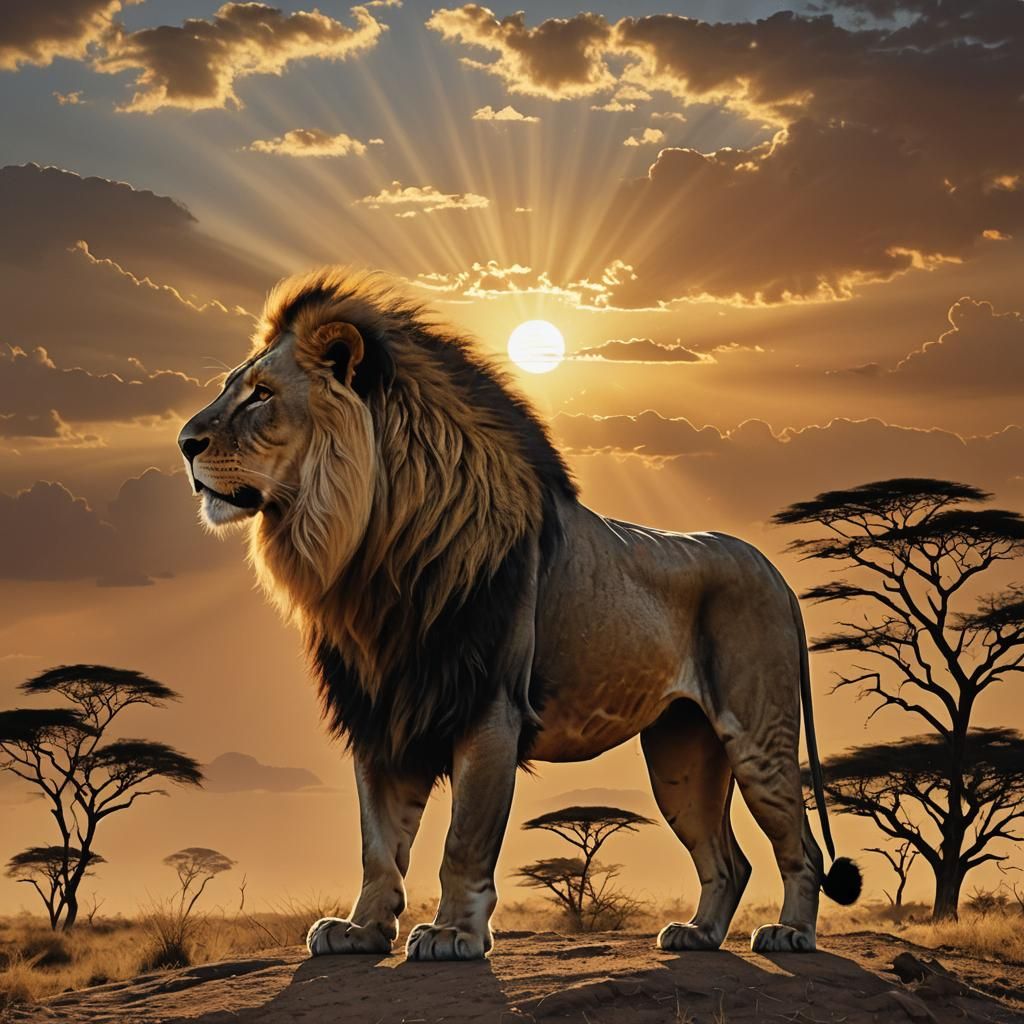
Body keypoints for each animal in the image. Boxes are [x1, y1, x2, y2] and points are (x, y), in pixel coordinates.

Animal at [177, 267, 861, 961]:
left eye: (261, 395)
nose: (184, 443)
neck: (373, 553)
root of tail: (774, 570)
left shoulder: (488, 707)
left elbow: (464, 839)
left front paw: (452, 933)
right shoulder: (382, 713)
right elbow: (378, 843)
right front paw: (361, 930)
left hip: (757, 734)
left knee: (800, 846)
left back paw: (790, 933)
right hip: (680, 756)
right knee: (727, 858)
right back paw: (697, 934)